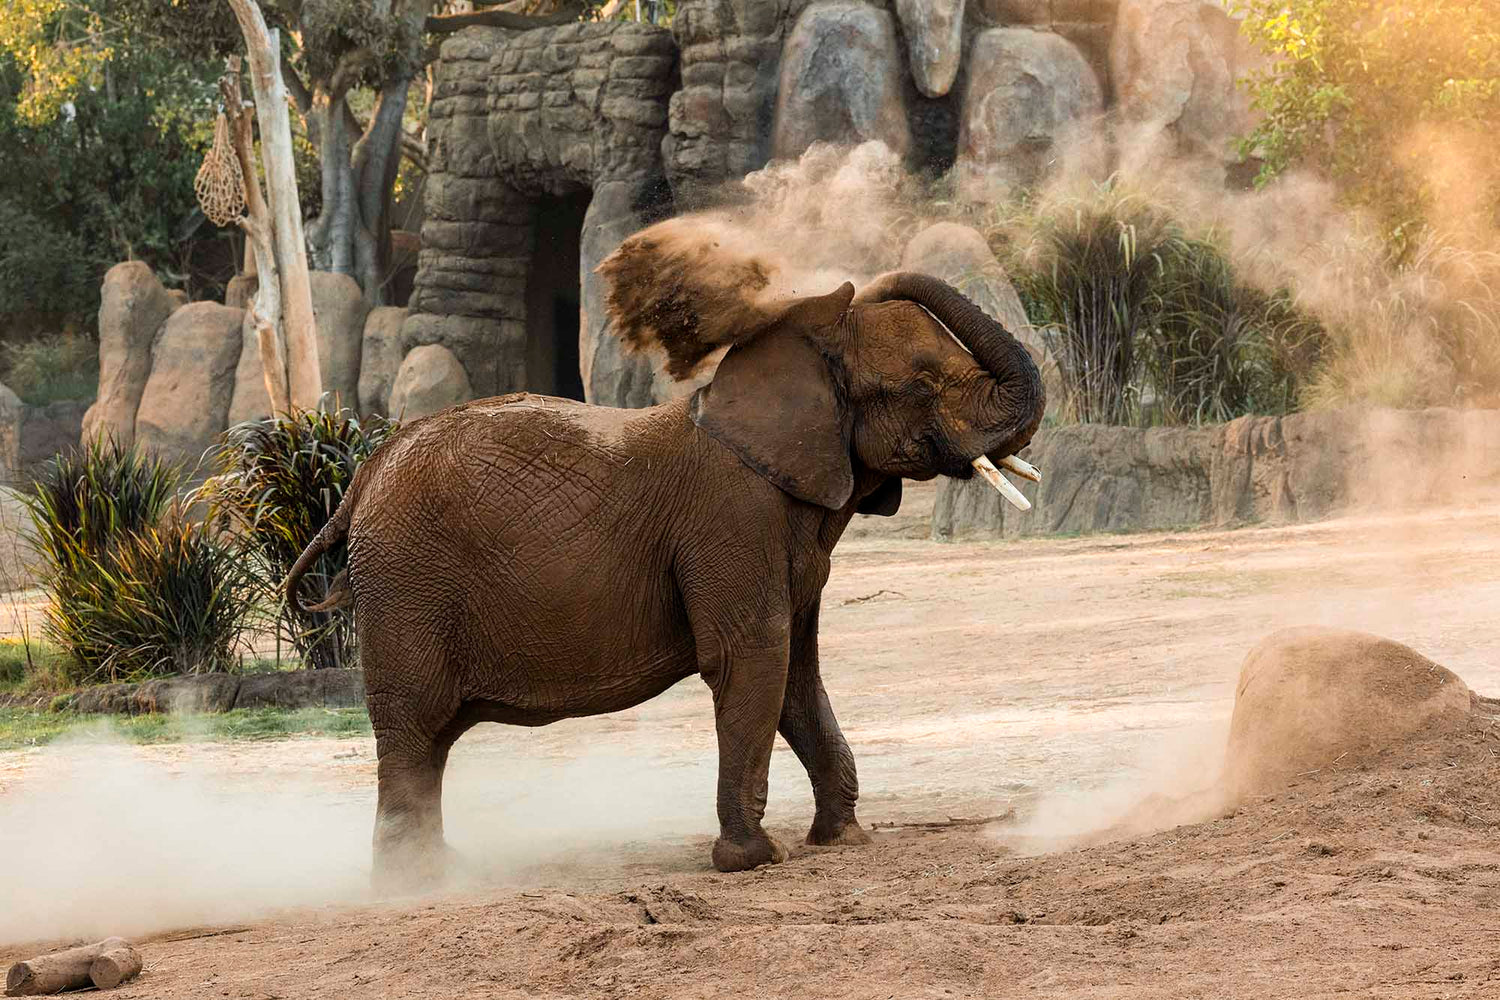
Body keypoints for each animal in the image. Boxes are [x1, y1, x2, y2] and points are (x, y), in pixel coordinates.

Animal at [285, 218, 1045, 885]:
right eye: (922, 386)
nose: (863, 279)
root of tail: (364, 478)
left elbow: (797, 672)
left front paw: (842, 841)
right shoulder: (732, 521)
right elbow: (753, 658)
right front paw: (755, 861)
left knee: (430, 743)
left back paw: (442, 872)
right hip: (407, 583)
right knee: (415, 732)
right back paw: (415, 883)